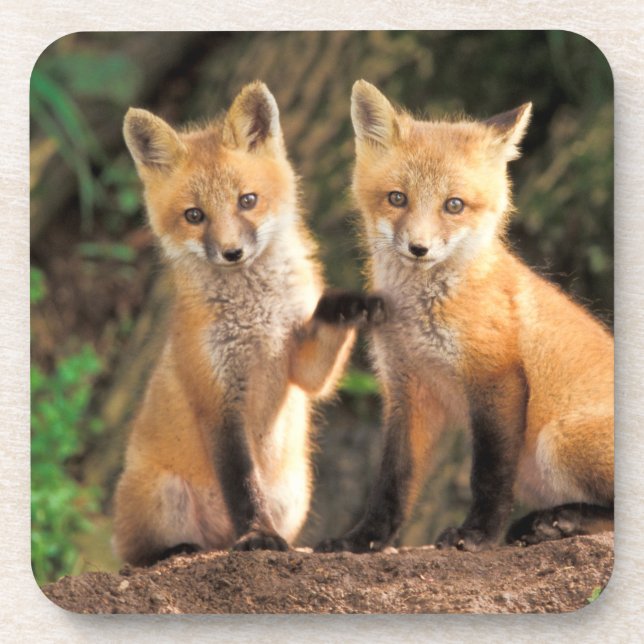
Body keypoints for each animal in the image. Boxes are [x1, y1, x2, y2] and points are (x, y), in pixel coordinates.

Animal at [113, 81, 383, 566]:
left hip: (294, 494)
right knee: (137, 555)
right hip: (163, 496)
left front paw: (348, 304)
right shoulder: (218, 399)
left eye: (248, 201)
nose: (232, 252)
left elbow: (319, 356)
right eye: (194, 215)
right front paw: (258, 535)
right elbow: (242, 485)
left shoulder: (301, 367)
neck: (257, 318)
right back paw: (179, 550)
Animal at [317, 80, 614, 553]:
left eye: (453, 205)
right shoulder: (407, 390)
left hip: (558, 439)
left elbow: (488, 475)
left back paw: (560, 521)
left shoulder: (495, 376)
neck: (419, 319)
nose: (418, 248)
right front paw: (363, 540)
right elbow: (392, 481)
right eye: (397, 198)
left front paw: (477, 534)